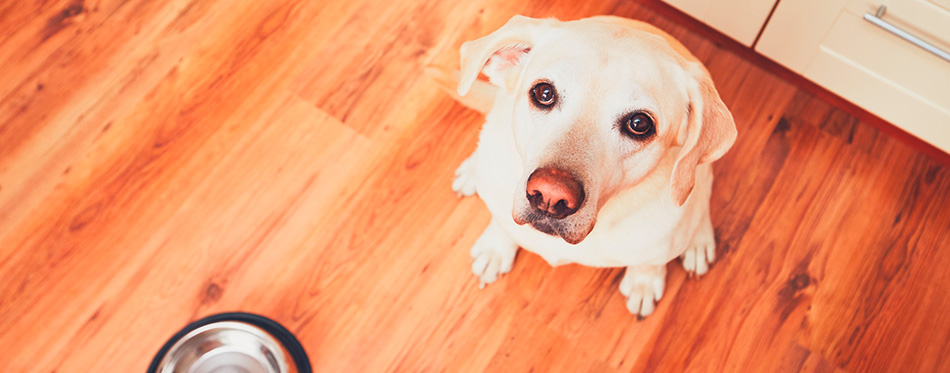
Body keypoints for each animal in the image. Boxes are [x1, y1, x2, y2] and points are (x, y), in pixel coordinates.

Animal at [442, 15, 740, 316]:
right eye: (544, 92)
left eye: (639, 124)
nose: (550, 196)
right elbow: (502, 224)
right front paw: (496, 248)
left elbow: (650, 262)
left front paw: (643, 282)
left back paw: (699, 241)